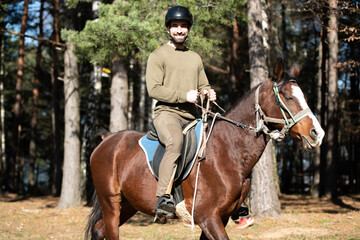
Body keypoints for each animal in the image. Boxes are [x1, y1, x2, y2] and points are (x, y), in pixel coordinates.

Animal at [86, 58, 324, 240]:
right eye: (288, 97)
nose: (317, 133)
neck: (228, 151)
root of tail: (108, 139)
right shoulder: (207, 217)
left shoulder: (221, 217)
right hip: (111, 203)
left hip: (128, 204)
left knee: (99, 231)